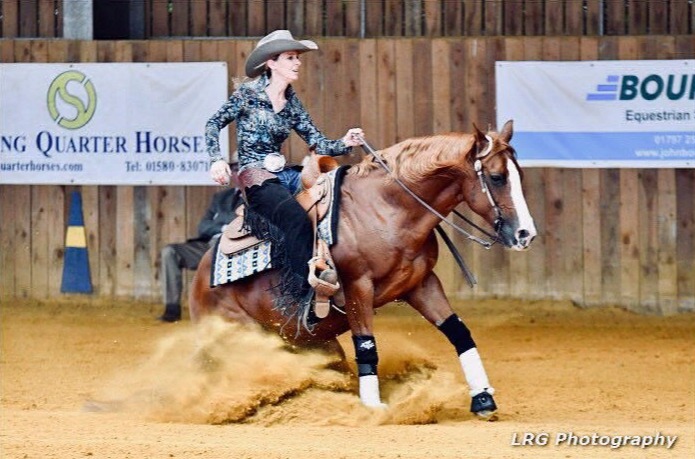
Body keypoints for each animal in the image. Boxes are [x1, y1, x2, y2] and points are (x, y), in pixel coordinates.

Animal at [189, 119, 540, 420]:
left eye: (520, 176)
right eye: (496, 177)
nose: (526, 234)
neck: (387, 208)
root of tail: (199, 281)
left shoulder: (422, 284)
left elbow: (459, 333)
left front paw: (483, 398)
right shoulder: (357, 287)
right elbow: (367, 346)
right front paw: (373, 408)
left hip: (316, 342)